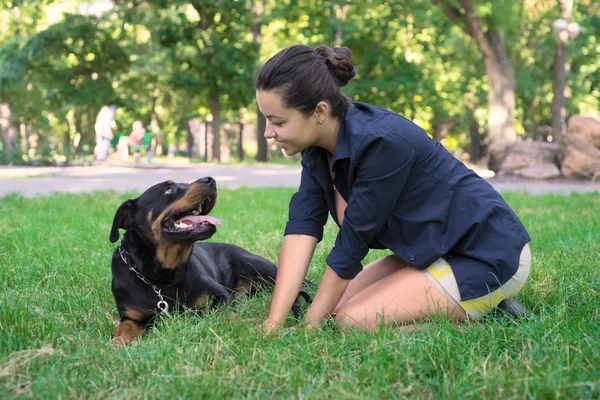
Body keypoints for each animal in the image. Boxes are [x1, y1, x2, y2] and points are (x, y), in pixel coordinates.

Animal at [106, 177, 310, 346]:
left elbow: (229, 315)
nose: (210, 180)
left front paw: (245, 326)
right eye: (169, 190)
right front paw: (116, 347)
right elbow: (123, 330)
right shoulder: (132, 317)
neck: (163, 278)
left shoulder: (220, 296)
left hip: (260, 266)